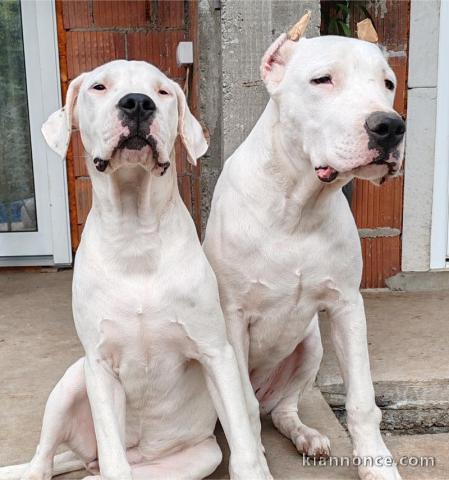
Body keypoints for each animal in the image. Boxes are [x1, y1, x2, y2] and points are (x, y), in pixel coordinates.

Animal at [0, 59, 270, 480]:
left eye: (162, 91)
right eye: (98, 86)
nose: (138, 103)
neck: (135, 235)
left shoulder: (216, 352)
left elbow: (244, 445)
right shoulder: (98, 365)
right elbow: (114, 456)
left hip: (200, 456)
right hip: (70, 383)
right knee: (48, 458)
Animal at [203, 16, 406, 480]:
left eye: (388, 83)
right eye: (322, 80)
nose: (390, 126)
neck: (298, 204)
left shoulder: (347, 305)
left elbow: (362, 399)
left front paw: (377, 464)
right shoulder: (232, 317)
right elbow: (240, 407)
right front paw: (253, 468)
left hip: (311, 344)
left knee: (281, 409)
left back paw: (306, 435)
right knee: (249, 408)